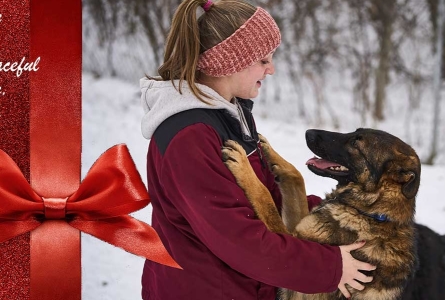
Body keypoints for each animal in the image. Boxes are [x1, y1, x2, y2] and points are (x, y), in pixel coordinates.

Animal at [221, 128, 420, 300]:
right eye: (355, 132)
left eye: (356, 143)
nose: (308, 132)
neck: (369, 212)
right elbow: (298, 177)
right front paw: (269, 150)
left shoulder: (290, 240)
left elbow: (265, 198)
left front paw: (242, 164)